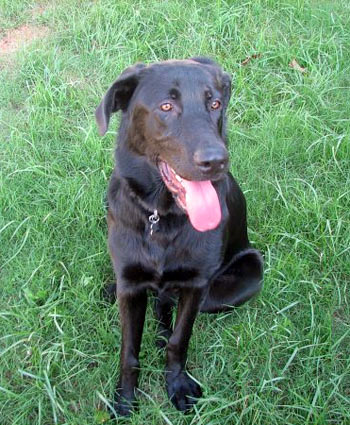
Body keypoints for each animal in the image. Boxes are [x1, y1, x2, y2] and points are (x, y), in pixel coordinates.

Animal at [95, 58, 262, 416]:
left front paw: (177, 384)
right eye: (166, 107)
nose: (216, 160)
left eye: (215, 104)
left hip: (246, 274)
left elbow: (178, 341)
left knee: (165, 304)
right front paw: (125, 398)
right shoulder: (131, 287)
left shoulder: (196, 286)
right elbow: (129, 351)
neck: (162, 216)